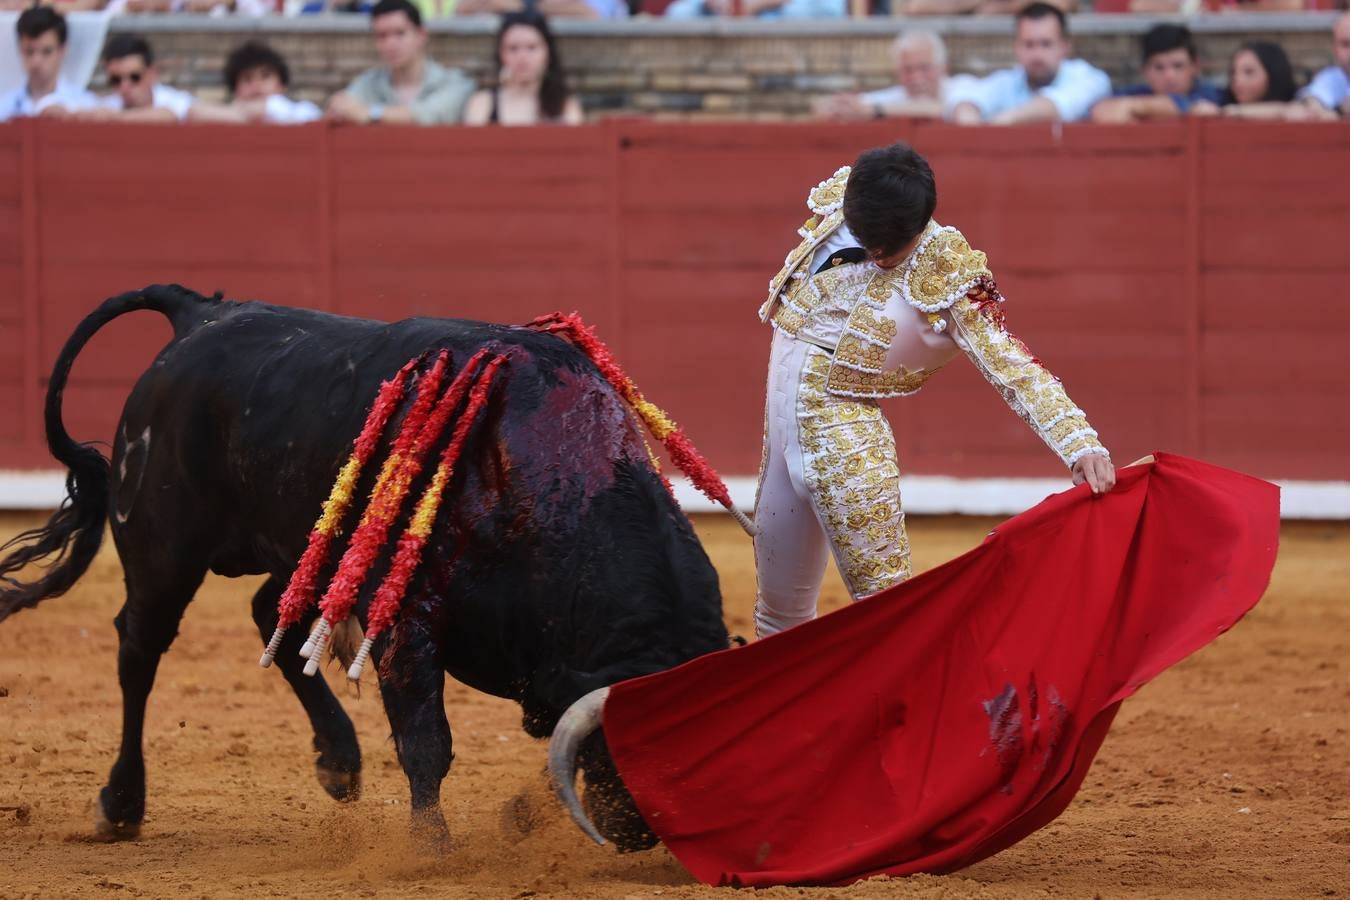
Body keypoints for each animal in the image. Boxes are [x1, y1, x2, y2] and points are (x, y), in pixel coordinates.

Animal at [0, 287, 729, 852]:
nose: (641, 833)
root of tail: (199, 314)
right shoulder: (405, 618)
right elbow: (426, 738)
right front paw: (431, 850)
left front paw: (514, 818)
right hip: (163, 548)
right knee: (139, 648)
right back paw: (121, 805)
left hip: (306, 544)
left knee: (271, 614)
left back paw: (339, 763)